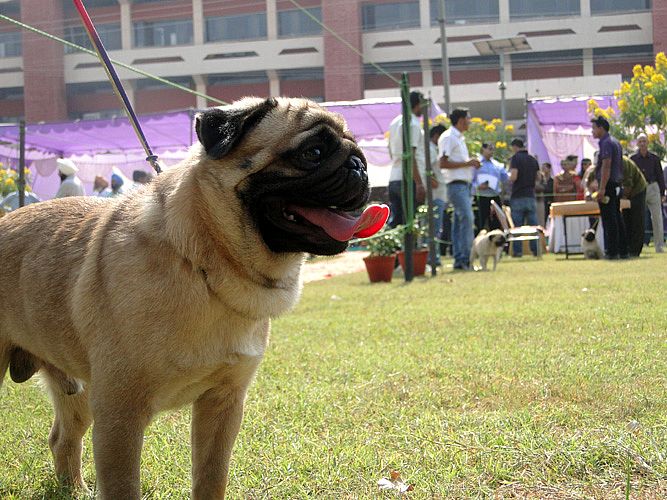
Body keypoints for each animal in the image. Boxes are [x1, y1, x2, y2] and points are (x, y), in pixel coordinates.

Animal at [0, 97, 380, 500]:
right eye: (313, 153)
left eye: (357, 150)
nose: (359, 164)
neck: (208, 268)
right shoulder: (120, 415)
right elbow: (123, 486)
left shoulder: (223, 404)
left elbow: (210, 477)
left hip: (81, 393)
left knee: (62, 439)